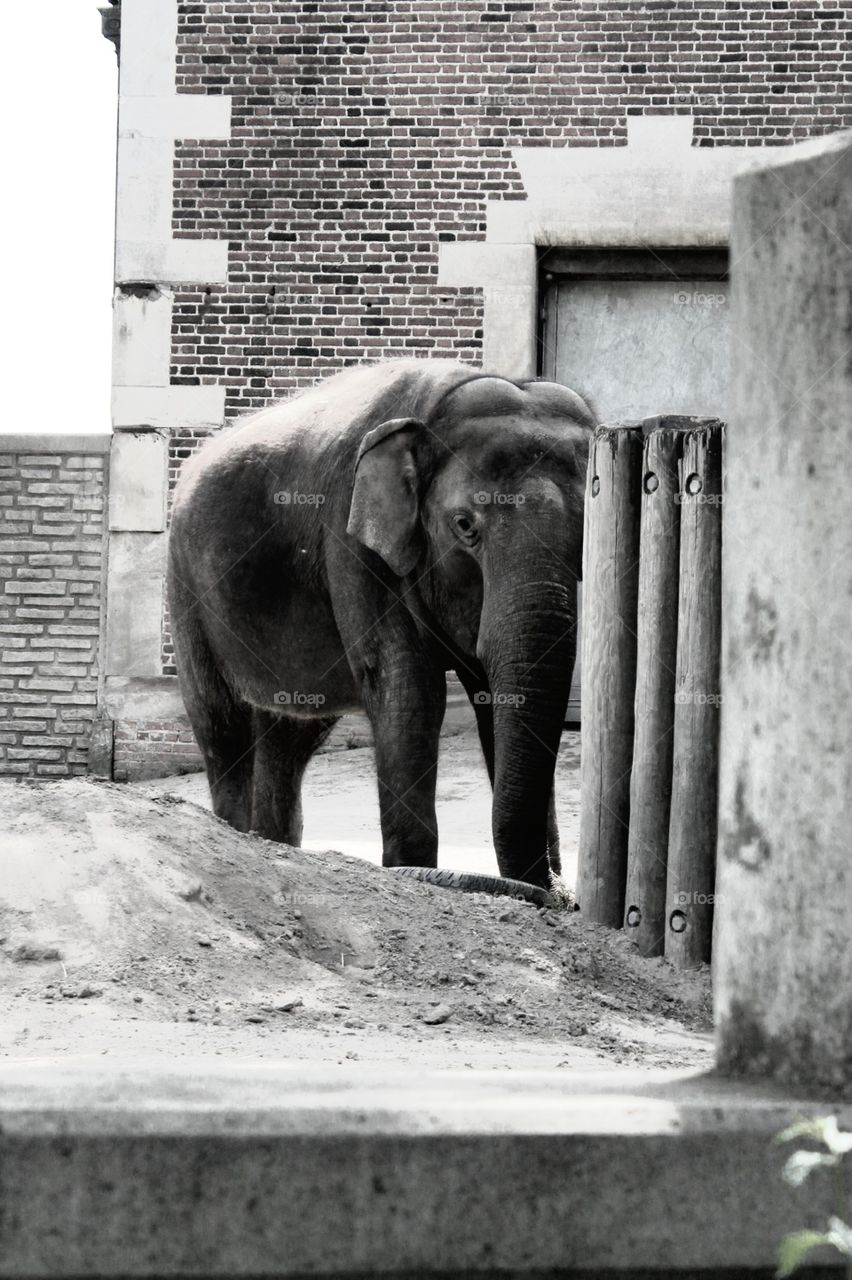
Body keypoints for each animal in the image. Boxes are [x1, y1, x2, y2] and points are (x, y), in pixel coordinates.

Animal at [167, 359, 594, 890]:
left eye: (587, 531)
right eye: (464, 526)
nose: (555, 889)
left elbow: (495, 694)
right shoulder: (353, 543)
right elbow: (408, 688)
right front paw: (415, 871)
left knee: (290, 735)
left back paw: (272, 844)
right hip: (185, 588)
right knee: (220, 723)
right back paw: (233, 832)